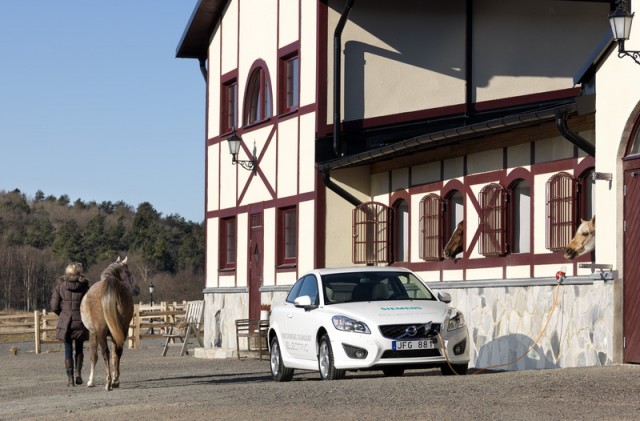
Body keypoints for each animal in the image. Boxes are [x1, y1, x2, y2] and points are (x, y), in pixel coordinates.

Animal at [80, 256, 139, 390]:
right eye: (128, 273)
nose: (137, 289)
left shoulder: (93, 333)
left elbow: (94, 356)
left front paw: (91, 381)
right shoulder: (115, 333)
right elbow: (114, 355)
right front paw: (115, 377)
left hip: (101, 332)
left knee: (104, 352)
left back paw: (108, 383)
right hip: (122, 329)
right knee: (118, 351)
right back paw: (115, 381)